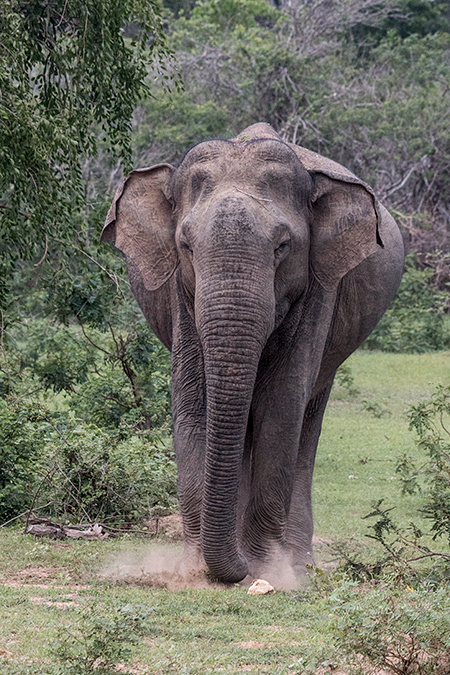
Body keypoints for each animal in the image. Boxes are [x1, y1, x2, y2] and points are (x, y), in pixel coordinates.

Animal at [101, 123, 404, 588]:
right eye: (186, 246)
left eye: (282, 247)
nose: (237, 569)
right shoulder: (181, 297)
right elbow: (193, 404)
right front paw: (197, 570)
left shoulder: (319, 288)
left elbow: (280, 407)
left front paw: (264, 569)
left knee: (307, 420)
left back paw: (297, 562)